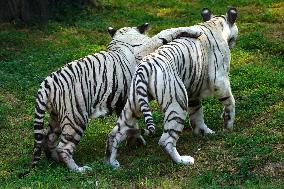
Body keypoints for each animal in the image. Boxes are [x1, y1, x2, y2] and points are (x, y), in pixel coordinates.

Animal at [30, 22, 202, 172]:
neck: (123, 37)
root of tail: (47, 82)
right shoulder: (144, 49)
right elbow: (165, 32)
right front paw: (194, 31)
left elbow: (131, 124)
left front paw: (136, 141)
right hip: (75, 118)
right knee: (63, 147)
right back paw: (79, 169)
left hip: (57, 117)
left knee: (47, 137)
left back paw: (55, 160)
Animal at [106, 7, 237, 168]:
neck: (216, 24)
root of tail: (144, 68)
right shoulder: (220, 80)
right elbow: (229, 101)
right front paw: (228, 126)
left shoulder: (192, 92)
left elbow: (197, 114)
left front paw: (204, 132)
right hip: (177, 103)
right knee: (166, 140)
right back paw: (183, 160)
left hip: (132, 106)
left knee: (115, 133)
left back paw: (112, 163)